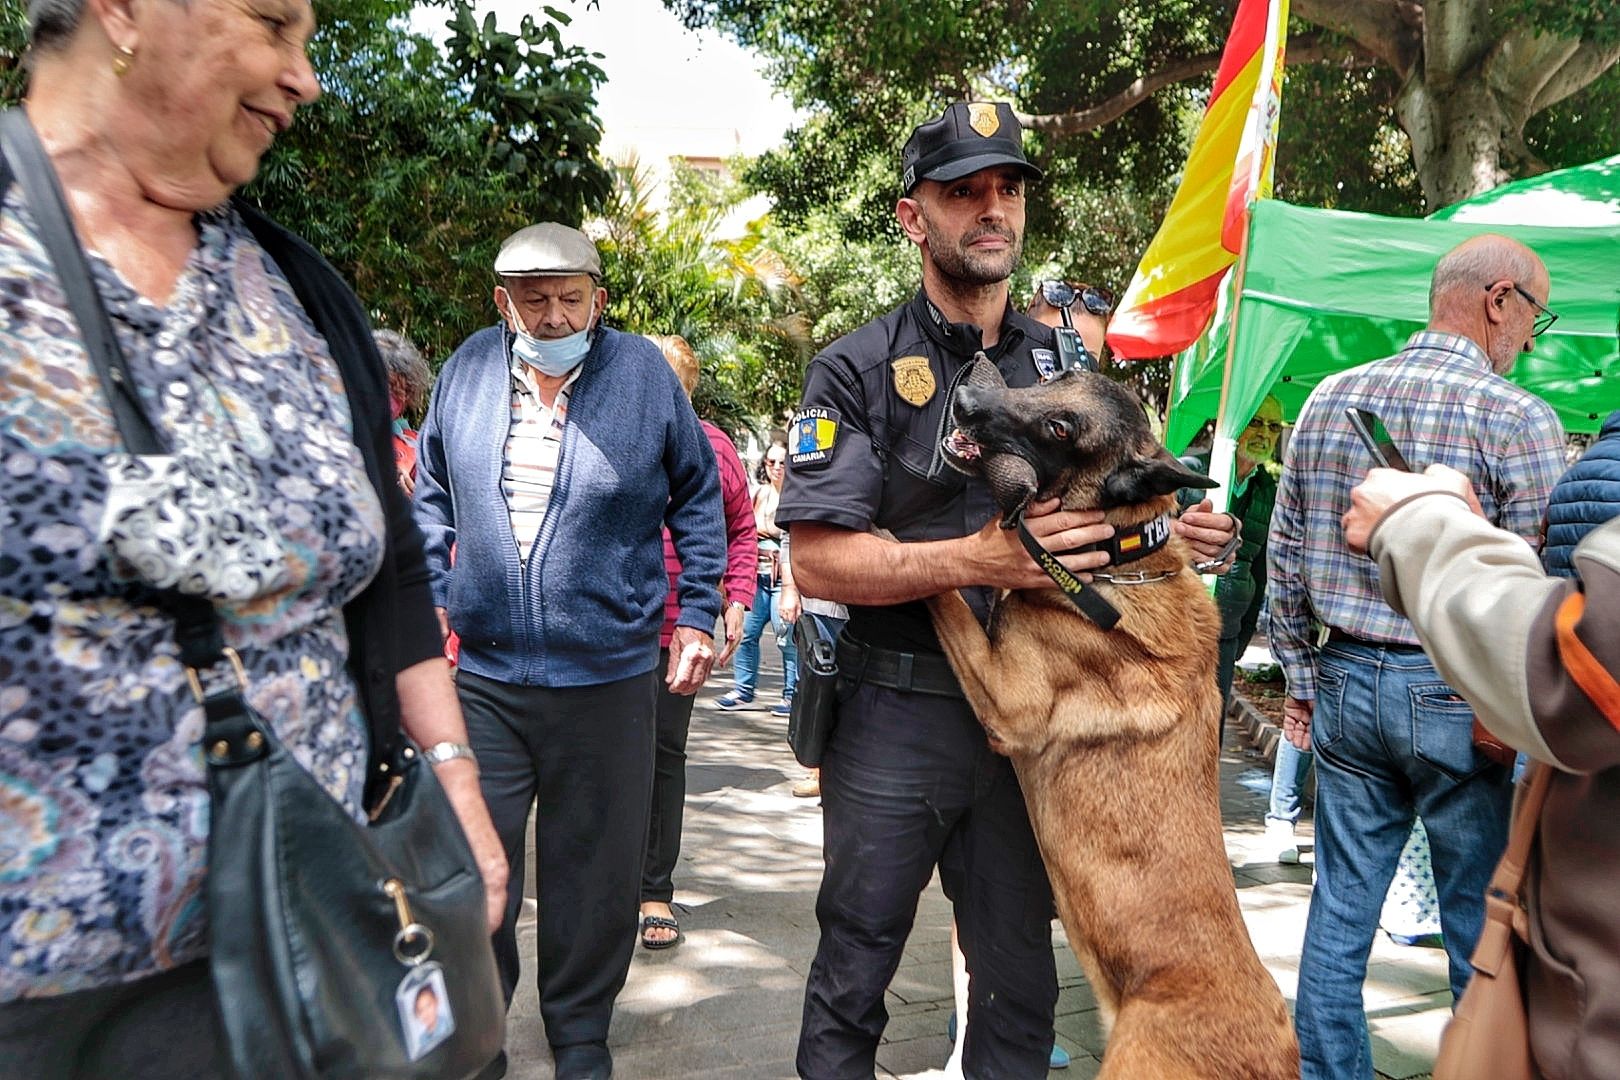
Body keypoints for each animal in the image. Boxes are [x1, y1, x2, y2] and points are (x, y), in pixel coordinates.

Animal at [926, 361, 1289, 1080]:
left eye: (1061, 429)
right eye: (1059, 375)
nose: (967, 395)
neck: (1123, 559)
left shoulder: (1007, 702)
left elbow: (945, 590)